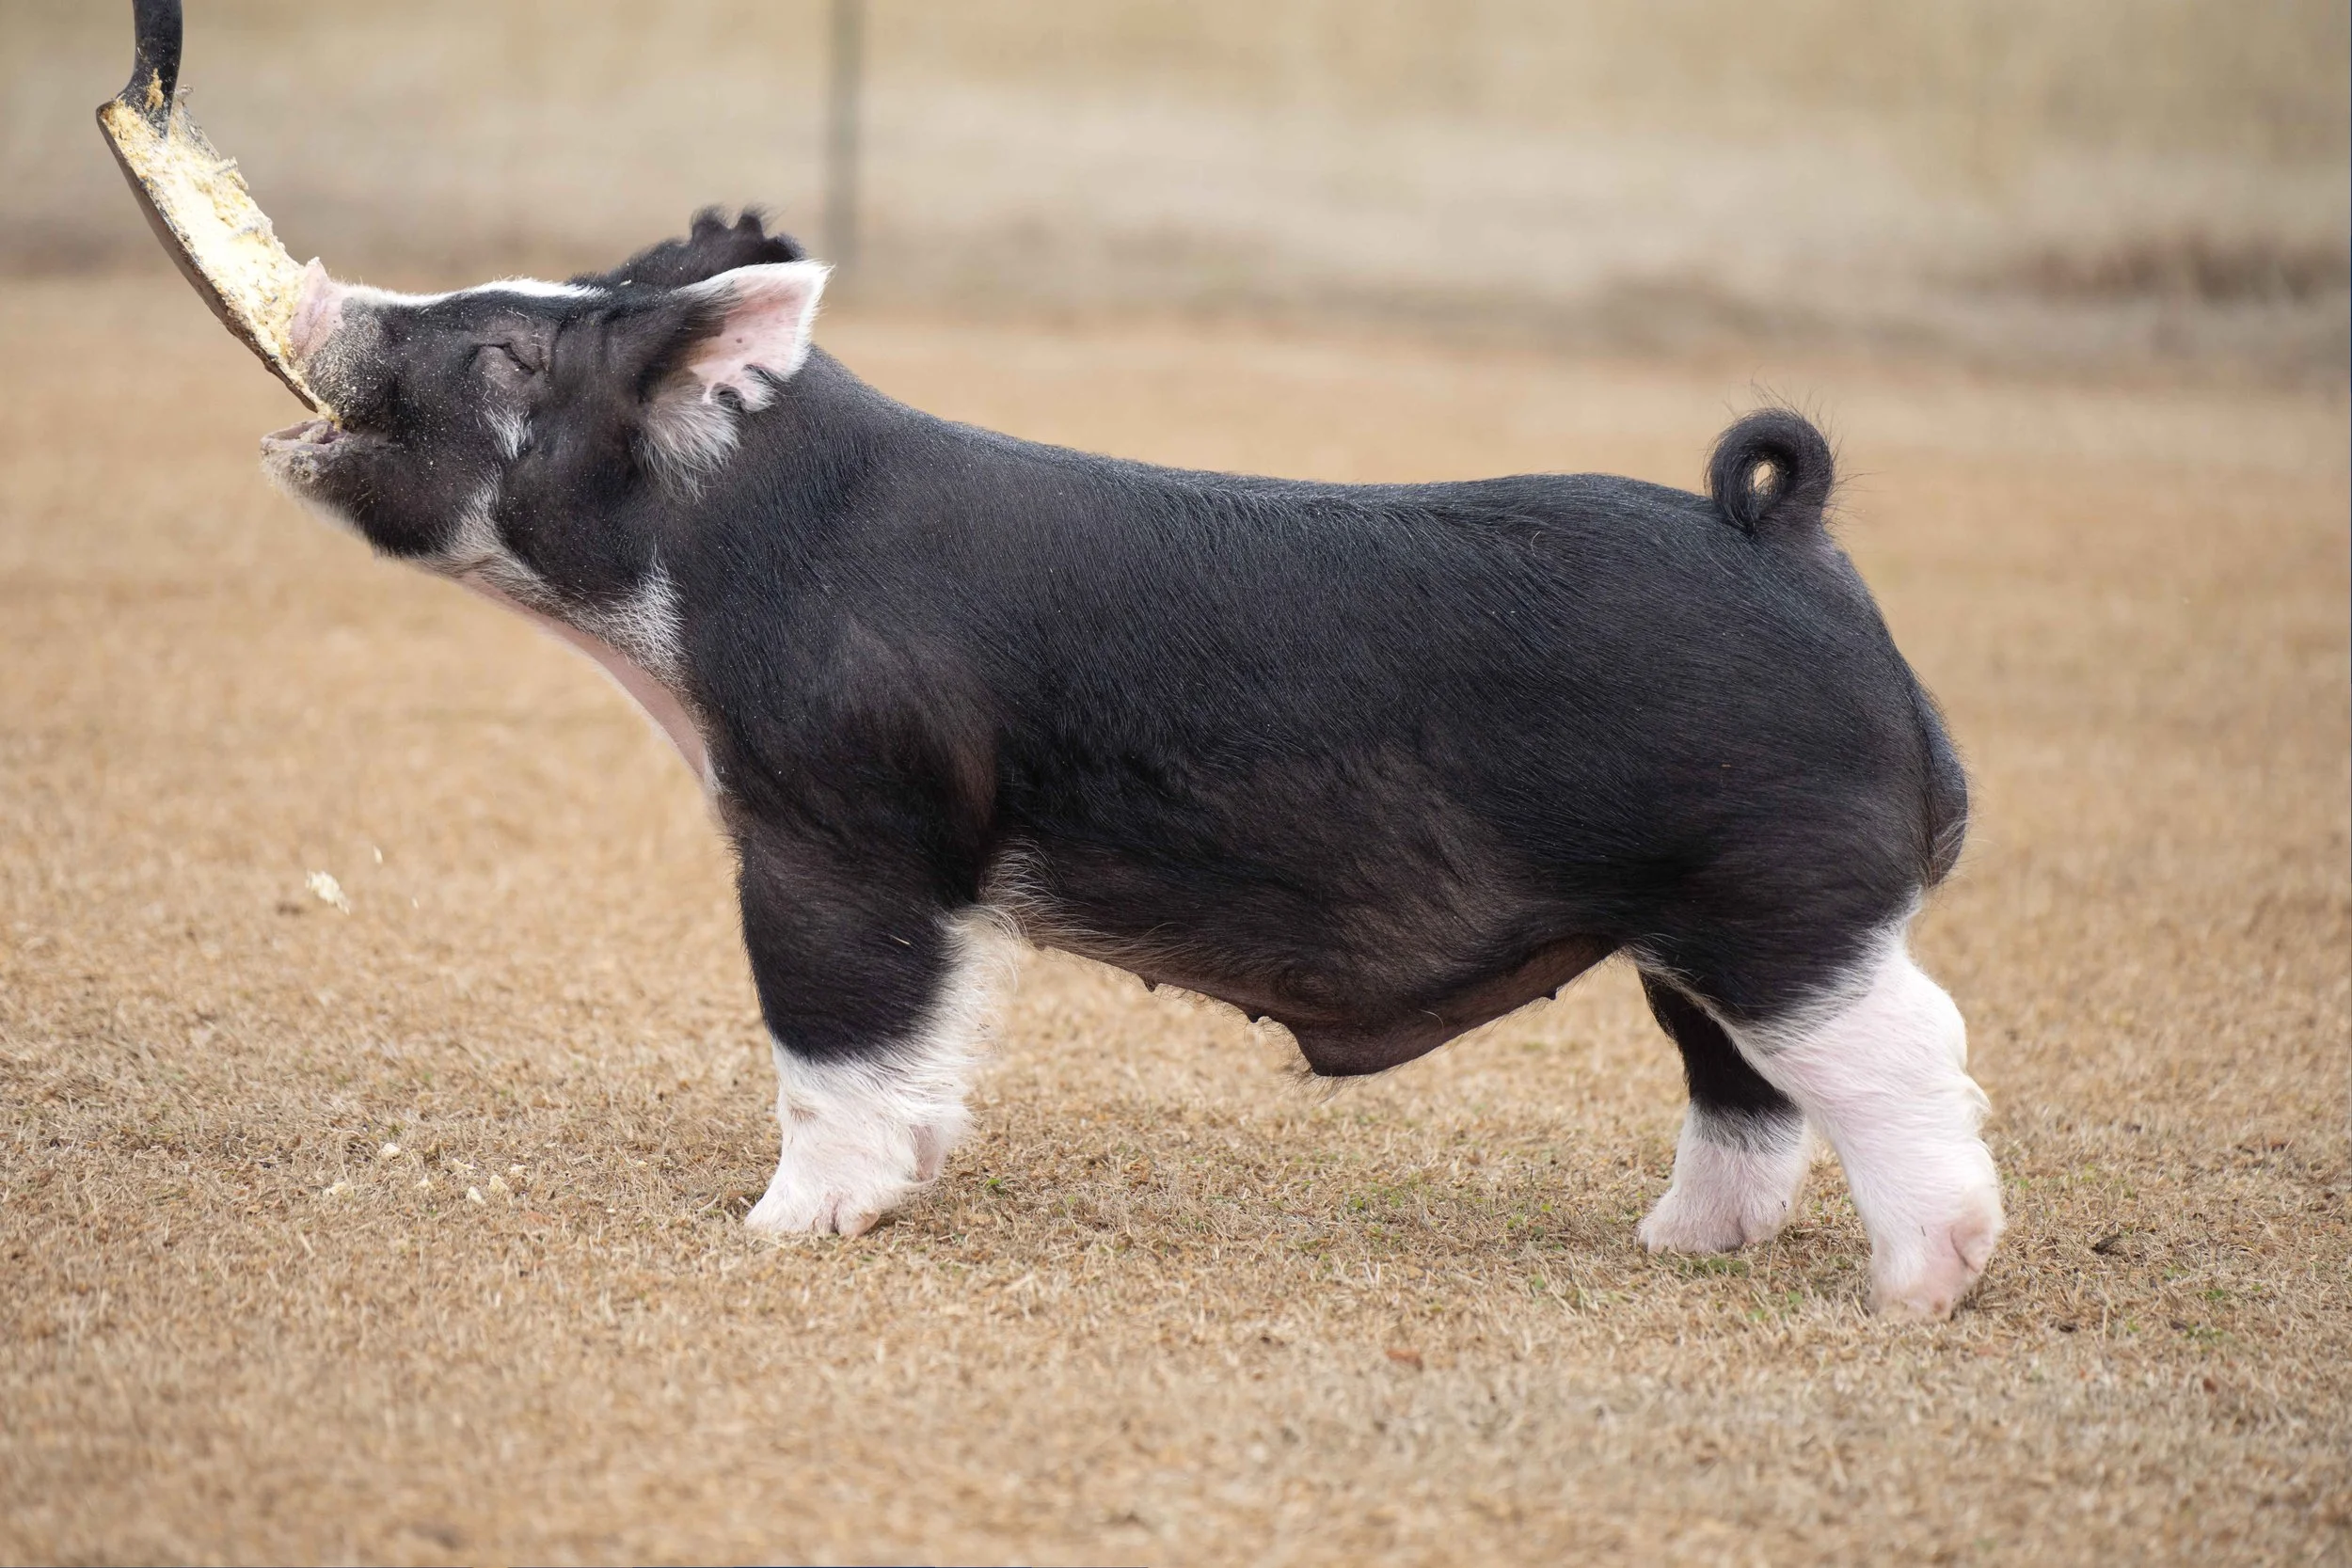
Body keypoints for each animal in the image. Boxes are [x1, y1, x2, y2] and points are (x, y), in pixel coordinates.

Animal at [261, 211, 1999, 1317]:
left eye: (506, 353)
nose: (317, 293)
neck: (709, 582)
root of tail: (1787, 541)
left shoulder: (839, 825)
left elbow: (830, 1032)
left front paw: (782, 1229)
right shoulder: (938, 880)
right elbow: (933, 1030)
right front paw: (899, 1181)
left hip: (1780, 893)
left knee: (1906, 1051)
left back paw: (1919, 1289)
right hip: (1683, 925)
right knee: (1749, 1089)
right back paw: (1671, 1250)